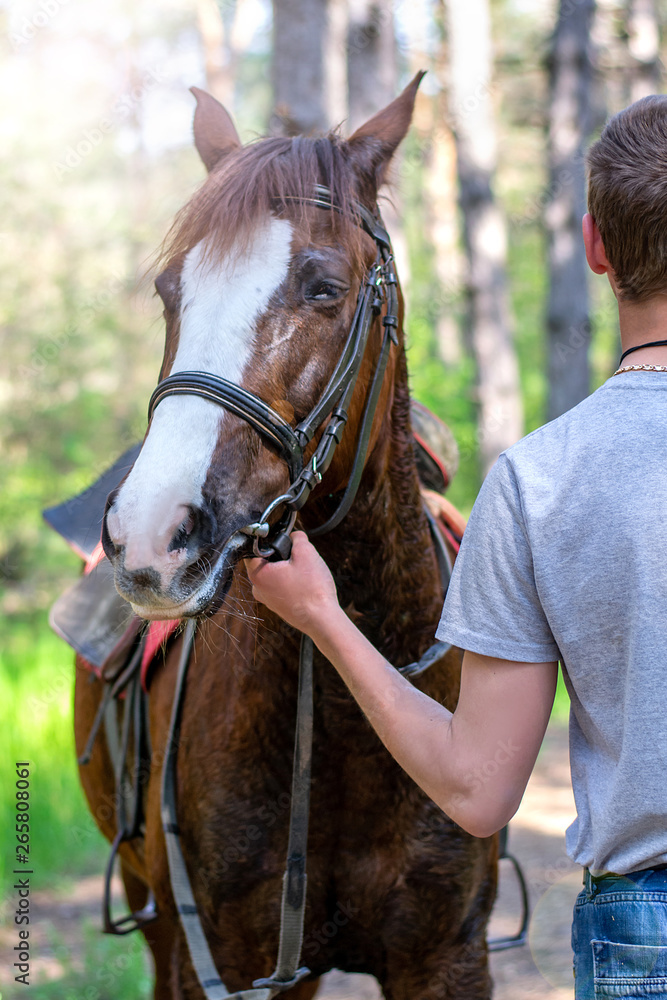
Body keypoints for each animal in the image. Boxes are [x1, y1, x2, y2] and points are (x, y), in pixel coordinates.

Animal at [73, 73, 499, 1000]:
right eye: (169, 292)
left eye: (324, 289)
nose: (152, 535)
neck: (342, 704)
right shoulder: (226, 962)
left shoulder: (447, 958)